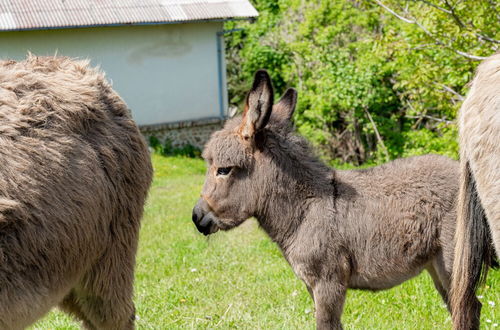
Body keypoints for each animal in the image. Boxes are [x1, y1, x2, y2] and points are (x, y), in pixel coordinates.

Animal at [191, 71, 460, 328]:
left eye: (223, 170)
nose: (196, 217)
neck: (304, 209)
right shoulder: (312, 285)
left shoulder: (328, 281)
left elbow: (327, 324)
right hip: (437, 267)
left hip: (453, 263)